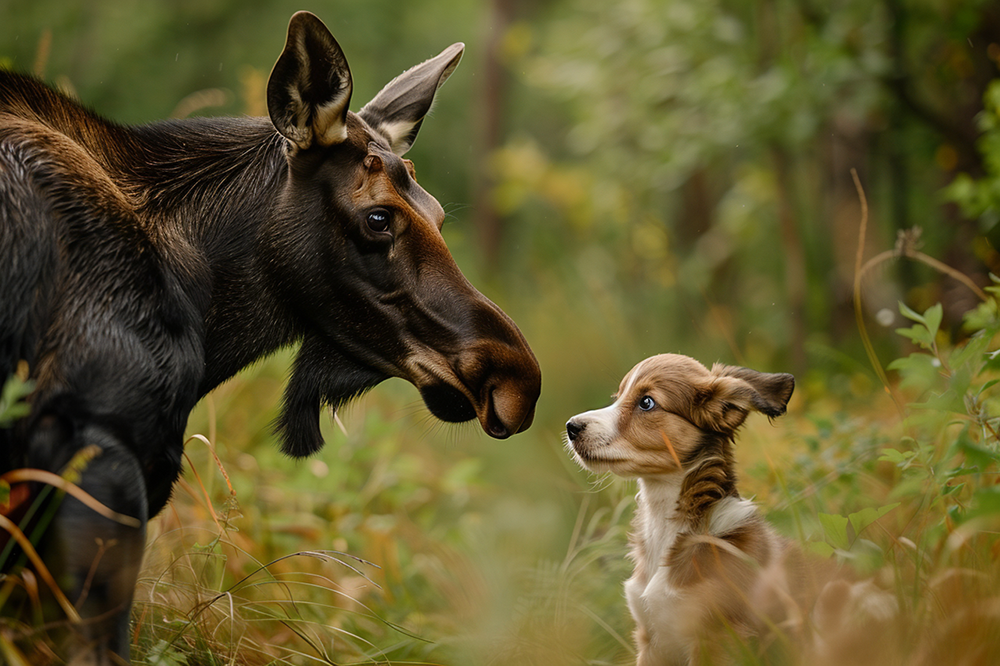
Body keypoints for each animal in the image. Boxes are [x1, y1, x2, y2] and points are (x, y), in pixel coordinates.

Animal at [568, 352, 840, 664]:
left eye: (646, 402)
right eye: (618, 396)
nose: (571, 427)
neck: (669, 528)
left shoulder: (717, 639)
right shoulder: (652, 641)